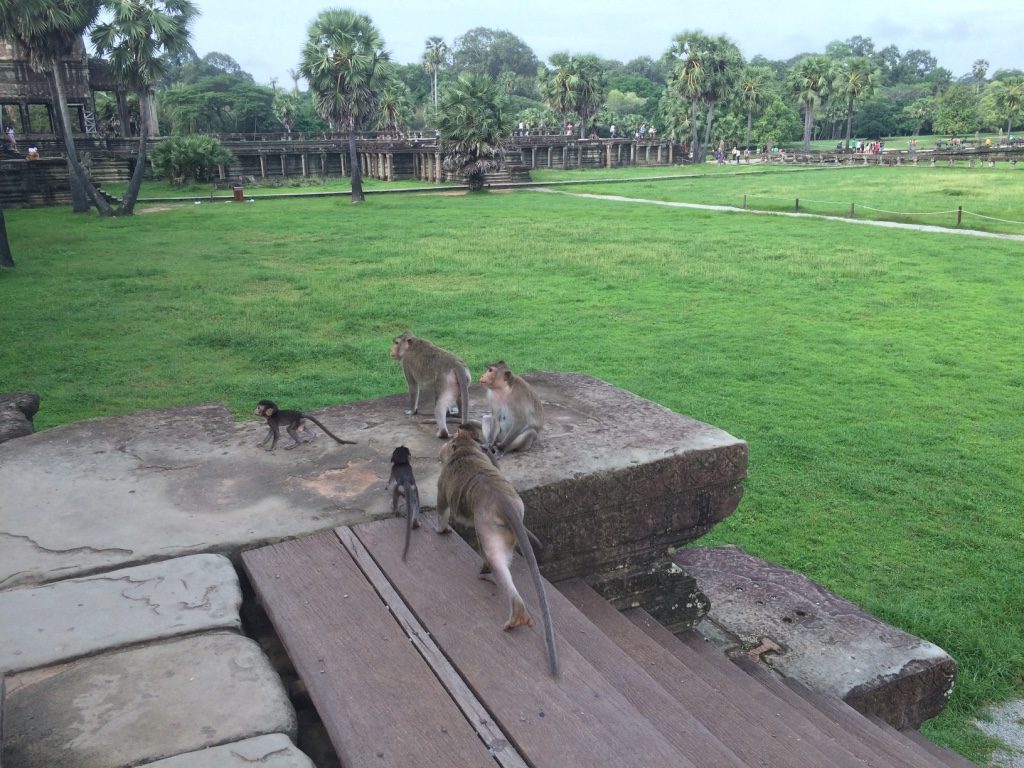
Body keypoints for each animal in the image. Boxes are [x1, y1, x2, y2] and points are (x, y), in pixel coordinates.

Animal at [434, 423, 561, 675]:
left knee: (494, 557)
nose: (441, 450)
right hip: (510, 520)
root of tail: (504, 501)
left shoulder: (443, 481)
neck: (466, 450)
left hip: (489, 524)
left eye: (447, 444)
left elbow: (442, 506)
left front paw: (441, 529)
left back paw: (513, 607)